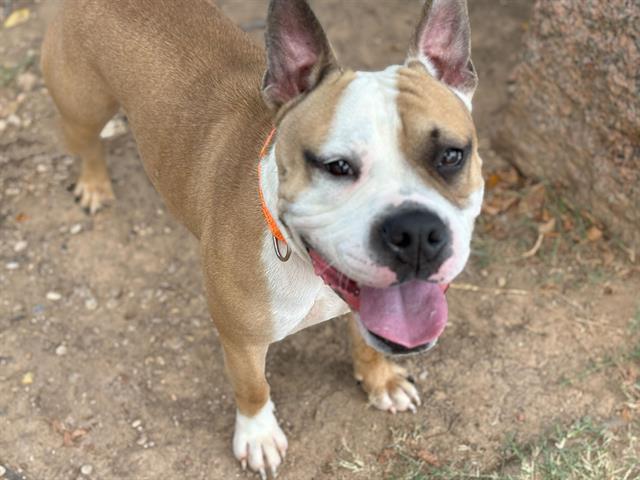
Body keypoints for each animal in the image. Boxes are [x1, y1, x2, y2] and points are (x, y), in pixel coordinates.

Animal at [41, 0, 480, 476]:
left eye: (451, 156)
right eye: (337, 166)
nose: (416, 231)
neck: (302, 260)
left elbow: (368, 343)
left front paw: (380, 380)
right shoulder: (241, 341)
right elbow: (253, 387)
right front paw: (258, 436)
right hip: (81, 109)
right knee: (86, 143)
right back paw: (94, 184)